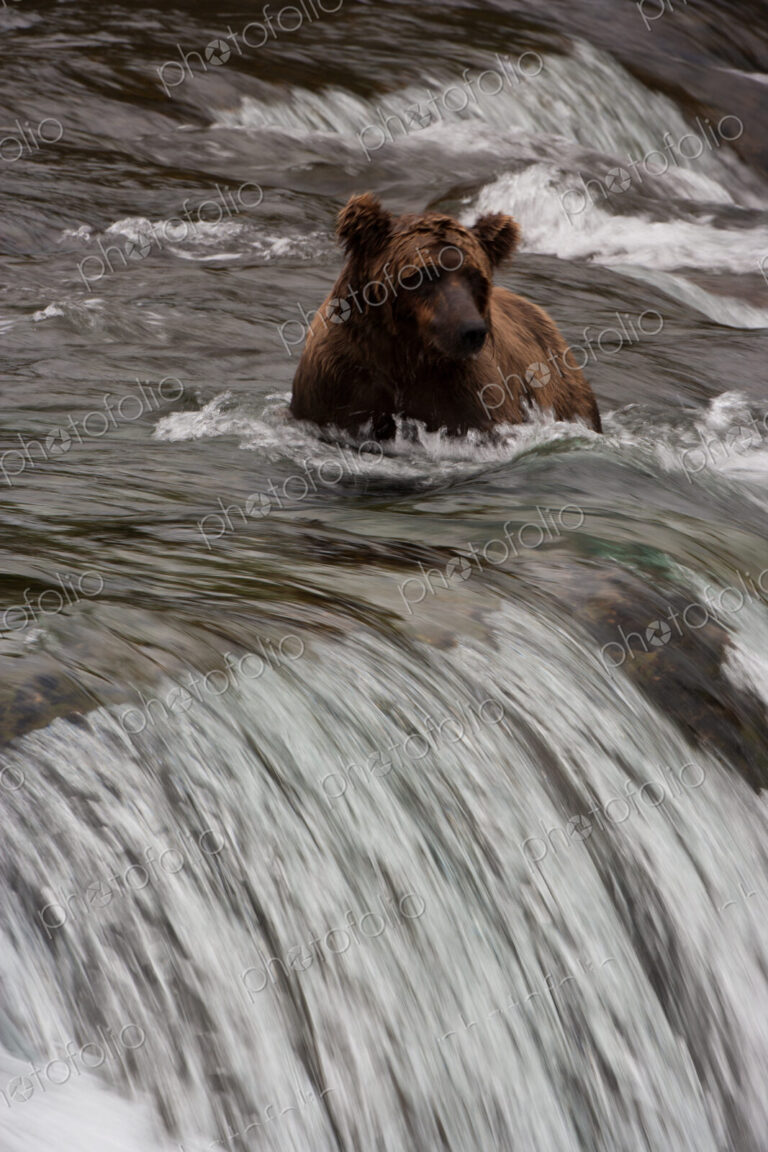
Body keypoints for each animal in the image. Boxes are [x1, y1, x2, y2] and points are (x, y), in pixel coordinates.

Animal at [290, 193, 601, 438]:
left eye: (475, 276)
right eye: (423, 274)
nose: (471, 331)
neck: (405, 354)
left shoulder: (466, 394)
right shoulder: (338, 382)